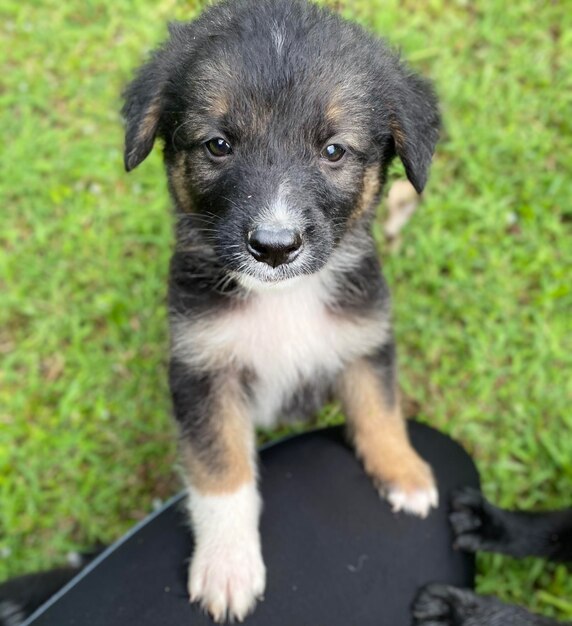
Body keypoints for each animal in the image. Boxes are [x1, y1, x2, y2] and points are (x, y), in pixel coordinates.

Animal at [123, 0, 440, 616]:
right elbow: (220, 467)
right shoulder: (204, 370)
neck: (282, 296)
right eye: (218, 145)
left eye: (334, 149)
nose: (273, 247)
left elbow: (380, 409)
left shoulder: (364, 336)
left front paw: (405, 472)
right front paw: (227, 567)